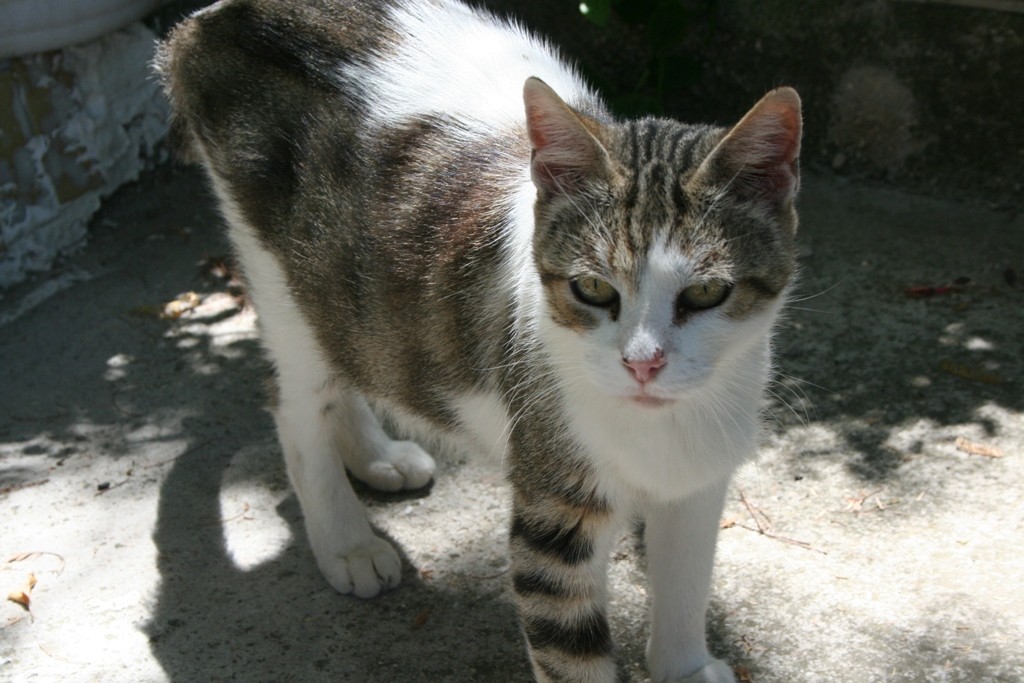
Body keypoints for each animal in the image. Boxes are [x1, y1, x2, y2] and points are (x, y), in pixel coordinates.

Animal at [157, 2, 798, 679]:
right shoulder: (553, 511)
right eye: (593, 287)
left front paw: (685, 663)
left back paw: (376, 455)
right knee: (296, 397)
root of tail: (211, 21)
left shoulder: (698, 478)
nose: (642, 363)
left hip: (343, 287)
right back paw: (347, 541)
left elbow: (686, 579)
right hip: (281, 274)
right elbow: (571, 652)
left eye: (705, 294)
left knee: (351, 350)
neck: (657, 426)